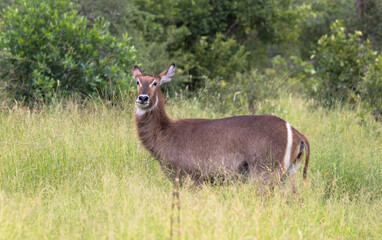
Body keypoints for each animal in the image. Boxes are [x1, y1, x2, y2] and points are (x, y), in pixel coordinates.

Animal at [133, 64, 308, 188]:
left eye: (155, 83)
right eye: (137, 82)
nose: (143, 98)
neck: (166, 132)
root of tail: (296, 133)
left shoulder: (191, 177)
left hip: (266, 173)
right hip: (288, 173)